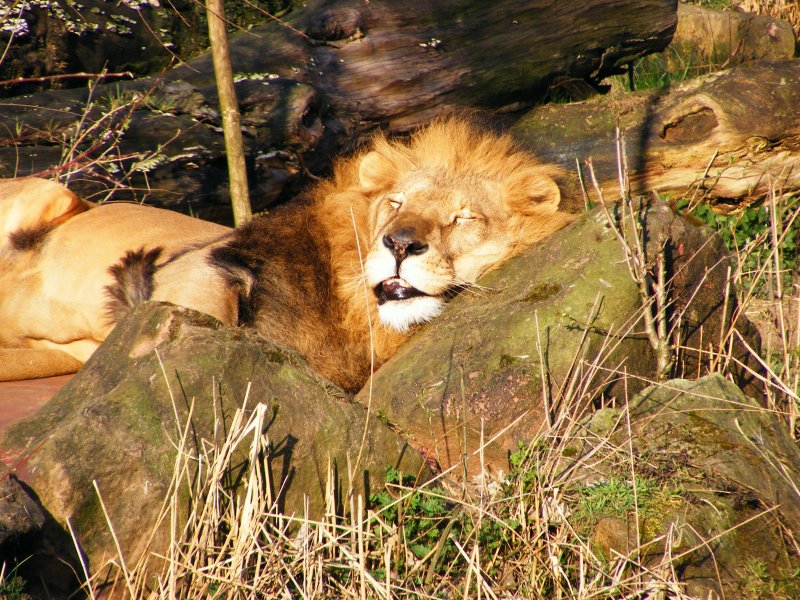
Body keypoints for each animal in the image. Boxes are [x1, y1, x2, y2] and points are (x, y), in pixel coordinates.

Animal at [0, 118, 576, 390]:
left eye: (464, 218)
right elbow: (200, 317)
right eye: (396, 203)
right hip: (51, 193)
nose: (398, 243)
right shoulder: (200, 265)